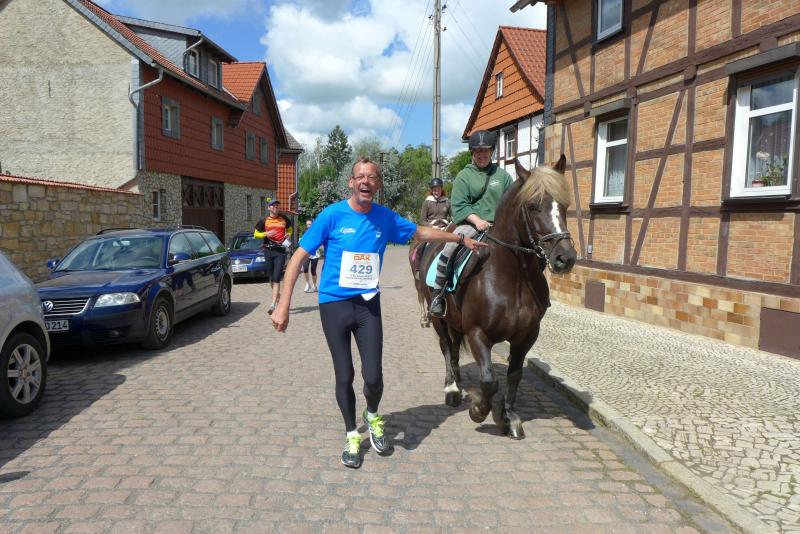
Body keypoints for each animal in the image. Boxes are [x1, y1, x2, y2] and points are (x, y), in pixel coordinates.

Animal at [409, 156, 577, 439]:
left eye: (564, 205)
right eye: (533, 205)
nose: (565, 258)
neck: (514, 278)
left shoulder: (526, 336)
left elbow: (514, 376)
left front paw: (507, 416)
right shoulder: (478, 333)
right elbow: (489, 380)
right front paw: (479, 410)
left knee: (455, 350)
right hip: (439, 319)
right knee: (446, 348)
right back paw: (452, 389)